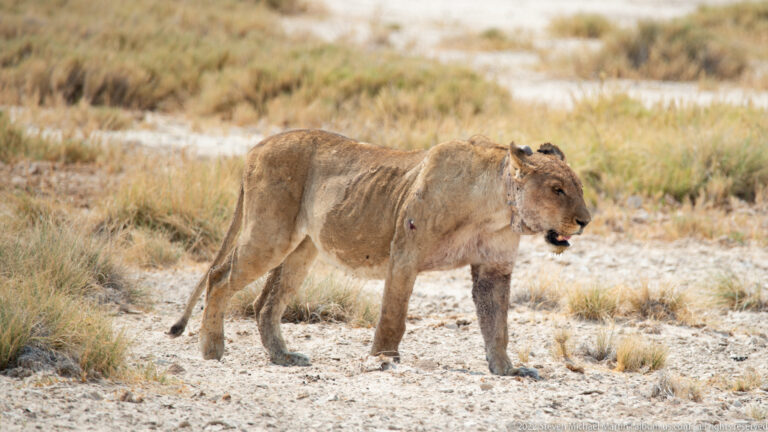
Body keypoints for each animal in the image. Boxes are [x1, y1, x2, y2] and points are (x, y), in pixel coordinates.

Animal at [168, 129, 590, 378]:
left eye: (579, 188)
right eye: (557, 189)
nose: (585, 221)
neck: (496, 210)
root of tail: (257, 145)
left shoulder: (494, 268)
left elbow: (497, 324)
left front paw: (506, 368)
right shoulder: (405, 253)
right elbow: (394, 315)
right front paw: (383, 358)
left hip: (301, 248)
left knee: (265, 302)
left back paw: (283, 357)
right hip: (269, 235)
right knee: (220, 277)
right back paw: (212, 348)